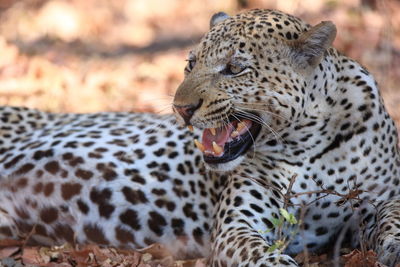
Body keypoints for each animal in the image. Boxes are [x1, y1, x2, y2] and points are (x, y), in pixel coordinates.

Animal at [0, 8, 400, 267]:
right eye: (191, 63)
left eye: (234, 68)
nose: (181, 108)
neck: (308, 144)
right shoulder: (237, 227)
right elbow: (266, 258)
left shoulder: (379, 198)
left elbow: (391, 215)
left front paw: (393, 247)